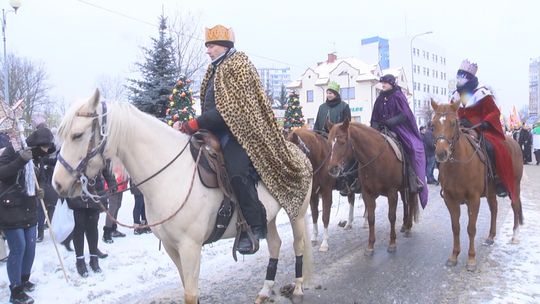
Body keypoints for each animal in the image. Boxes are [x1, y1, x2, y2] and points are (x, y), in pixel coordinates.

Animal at [51, 90, 312, 304]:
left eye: (77, 135)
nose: (58, 184)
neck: (170, 174)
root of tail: (300, 150)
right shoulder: (171, 246)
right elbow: (186, 288)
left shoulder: (190, 247)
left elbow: (190, 294)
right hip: (269, 217)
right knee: (276, 244)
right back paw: (265, 290)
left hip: (297, 212)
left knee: (298, 244)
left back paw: (299, 288)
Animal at [324, 120, 418, 255]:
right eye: (328, 142)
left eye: (342, 141)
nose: (332, 169)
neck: (375, 160)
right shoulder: (367, 193)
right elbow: (371, 218)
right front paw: (370, 245)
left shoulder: (392, 192)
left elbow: (392, 216)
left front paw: (392, 243)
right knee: (405, 204)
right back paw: (404, 225)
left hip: (408, 188)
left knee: (410, 203)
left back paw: (408, 227)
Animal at [430, 101, 524, 272]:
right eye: (432, 125)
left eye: (453, 123)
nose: (441, 153)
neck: (458, 166)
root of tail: (513, 142)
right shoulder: (450, 199)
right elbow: (456, 227)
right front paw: (454, 256)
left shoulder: (473, 199)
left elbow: (471, 228)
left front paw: (471, 259)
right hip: (491, 191)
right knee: (494, 209)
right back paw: (491, 237)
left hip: (514, 185)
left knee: (515, 206)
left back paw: (514, 236)